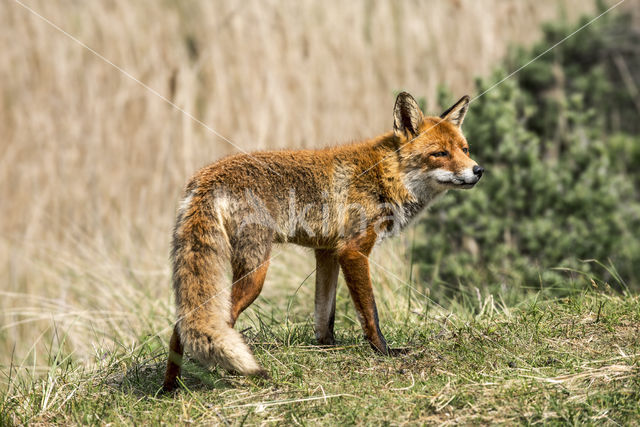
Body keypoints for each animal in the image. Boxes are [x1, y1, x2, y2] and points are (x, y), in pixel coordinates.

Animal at [162, 91, 482, 392]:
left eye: (464, 150)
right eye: (439, 153)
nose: (478, 170)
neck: (386, 175)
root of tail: (204, 177)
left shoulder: (327, 252)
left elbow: (324, 314)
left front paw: (327, 347)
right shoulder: (354, 252)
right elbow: (370, 313)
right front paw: (384, 351)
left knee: (182, 325)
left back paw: (170, 388)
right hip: (256, 272)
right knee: (212, 324)